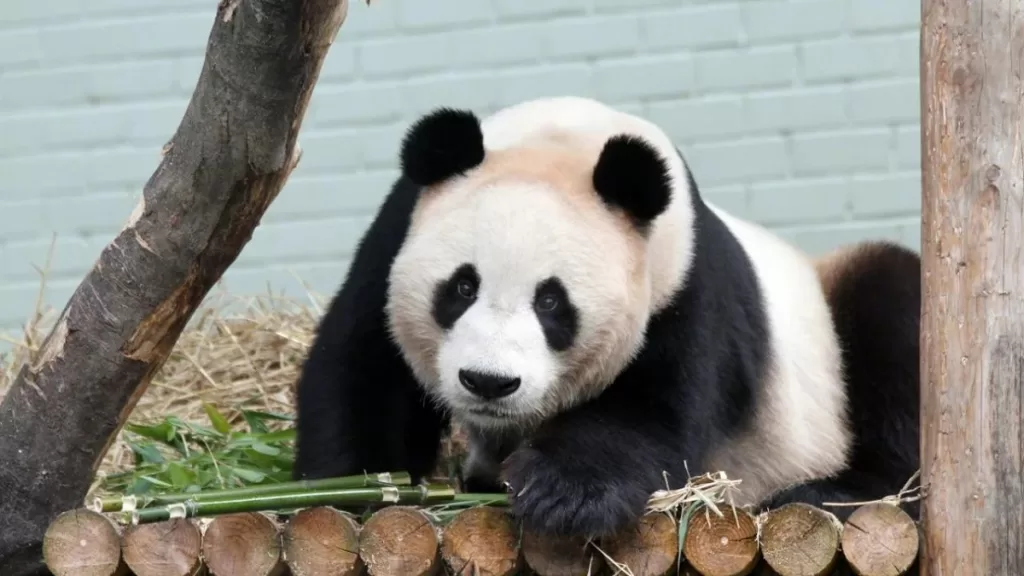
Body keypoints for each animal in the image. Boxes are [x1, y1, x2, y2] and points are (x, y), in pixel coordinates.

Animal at [292, 95, 921, 539]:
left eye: (552, 302)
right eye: (462, 287)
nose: (488, 382)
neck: (567, 139)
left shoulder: (682, 281)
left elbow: (652, 409)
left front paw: (563, 496)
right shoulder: (395, 236)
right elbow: (364, 369)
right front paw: (357, 488)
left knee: (895, 323)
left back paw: (827, 493)